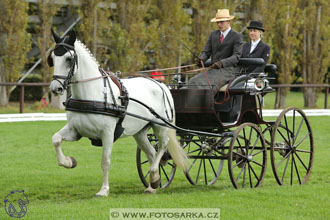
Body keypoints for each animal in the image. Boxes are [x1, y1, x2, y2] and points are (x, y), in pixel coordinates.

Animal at [48, 30, 188, 197]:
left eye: (69, 59)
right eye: (52, 58)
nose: (55, 88)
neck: (93, 93)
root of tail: (160, 84)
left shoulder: (107, 133)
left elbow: (105, 161)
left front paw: (104, 190)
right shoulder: (76, 130)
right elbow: (56, 139)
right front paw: (69, 162)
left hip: (160, 126)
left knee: (162, 145)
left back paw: (154, 176)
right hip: (140, 132)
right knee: (151, 153)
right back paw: (153, 183)